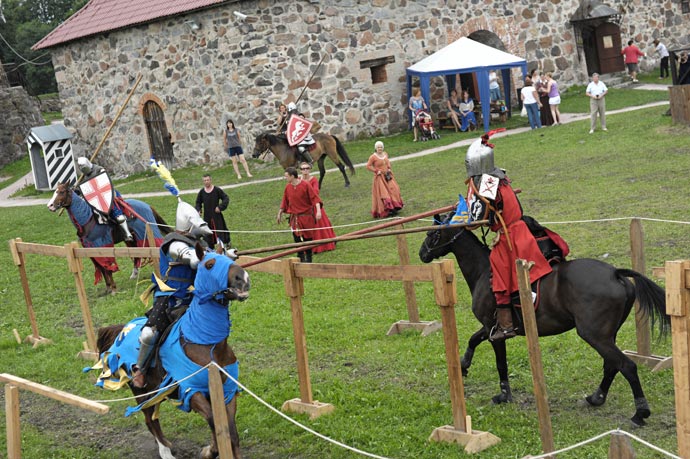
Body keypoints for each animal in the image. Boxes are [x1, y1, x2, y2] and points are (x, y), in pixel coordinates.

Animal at [92, 248, 250, 459]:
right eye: (210, 264)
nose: (243, 279)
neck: (206, 345)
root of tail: (121, 330)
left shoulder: (227, 391)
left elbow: (230, 432)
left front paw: (214, 450)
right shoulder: (192, 391)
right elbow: (214, 422)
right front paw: (210, 451)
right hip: (142, 392)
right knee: (150, 420)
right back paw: (165, 450)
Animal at [416, 214, 668, 430]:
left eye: (432, 234)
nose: (422, 254)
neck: (483, 270)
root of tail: (615, 273)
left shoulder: (495, 330)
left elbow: (500, 363)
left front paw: (504, 395)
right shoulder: (490, 327)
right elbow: (473, 339)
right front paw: (463, 365)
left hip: (593, 335)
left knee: (627, 366)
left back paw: (640, 413)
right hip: (606, 336)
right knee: (612, 365)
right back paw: (596, 398)